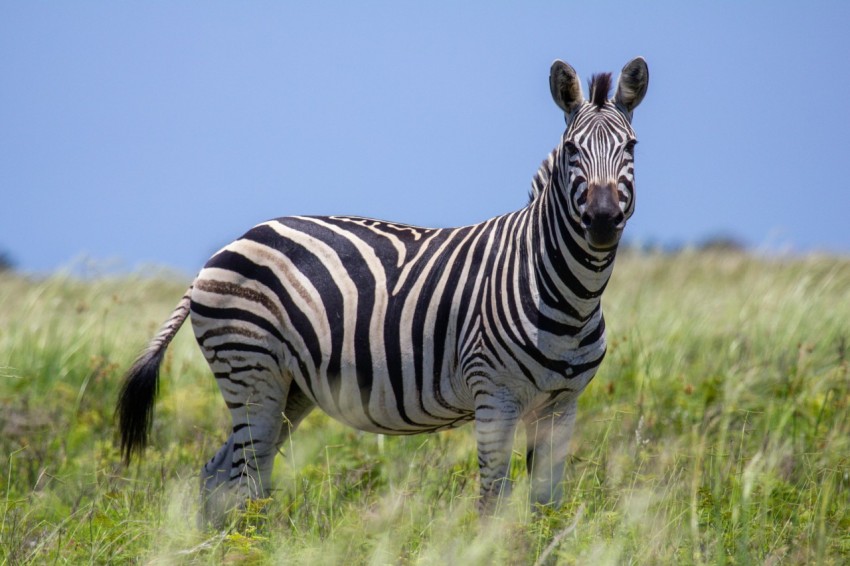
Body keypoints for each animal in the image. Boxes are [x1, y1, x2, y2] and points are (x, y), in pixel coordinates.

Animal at [117, 57, 649, 522]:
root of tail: (227, 247)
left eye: (632, 148)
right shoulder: (494, 396)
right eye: (572, 151)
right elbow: (492, 504)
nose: (603, 221)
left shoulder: (562, 403)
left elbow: (547, 506)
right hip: (250, 371)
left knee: (221, 478)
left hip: (288, 387)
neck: (568, 295)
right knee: (244, 481)